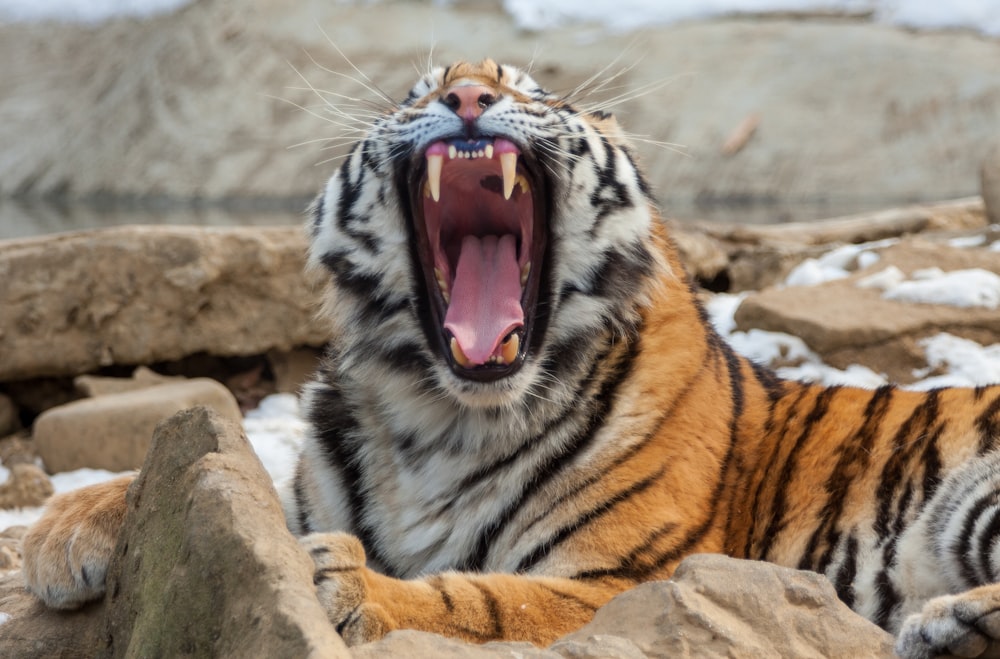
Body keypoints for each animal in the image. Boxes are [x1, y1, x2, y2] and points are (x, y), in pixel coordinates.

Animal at [17, 59, 1000, 656]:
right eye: (415, 94)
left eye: (534, 91)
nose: (465, 96)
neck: (440, 416)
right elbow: (229, 471)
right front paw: (62, 532)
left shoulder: (623, 578)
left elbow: (486, 596)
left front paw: (351, 583)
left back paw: (949, 620)